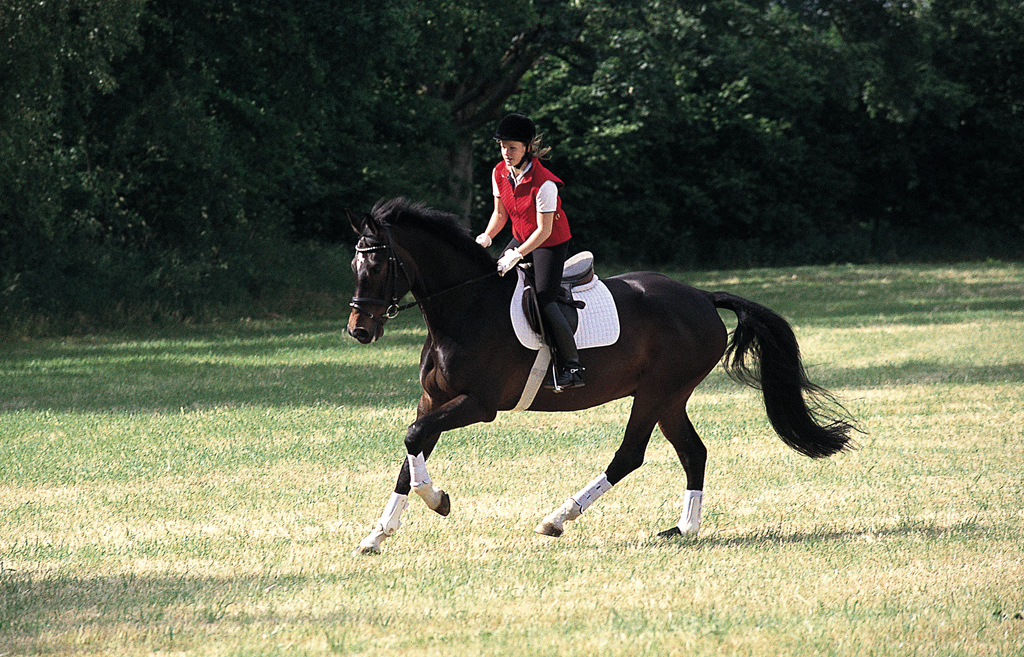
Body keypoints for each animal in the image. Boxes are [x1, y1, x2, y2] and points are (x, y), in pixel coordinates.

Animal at [346, 195, 856, 552]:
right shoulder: (434, 400)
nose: (359, 330)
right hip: (670, 398)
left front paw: (438, 501)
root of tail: (701, 296)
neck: (465, 307)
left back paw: (558, 517)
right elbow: (410, 454)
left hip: (655, 392)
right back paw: (683, 527)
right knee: (694, 452)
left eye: (377, 264)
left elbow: (413, 439)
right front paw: (377, 535)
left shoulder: (479, 405)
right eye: (354, 263)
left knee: (630, 454)